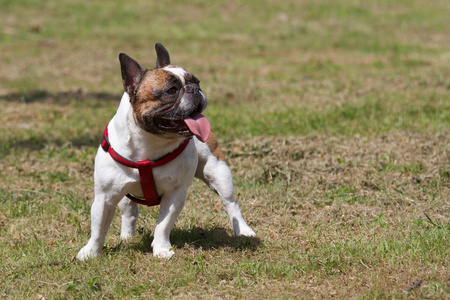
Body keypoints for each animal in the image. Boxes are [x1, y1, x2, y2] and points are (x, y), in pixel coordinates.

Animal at [77, 42, 256, 260]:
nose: (195, 89)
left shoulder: (174, 194)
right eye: (171, 90)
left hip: (219, 172)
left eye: (197, 82)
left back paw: (243, 230)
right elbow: (98, 227)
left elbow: (163, 225)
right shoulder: (105, 197)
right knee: (129, 211)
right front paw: (90, 252)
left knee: (230, 203)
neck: (149, 143)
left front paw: (162, 249)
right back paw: (127, 236)